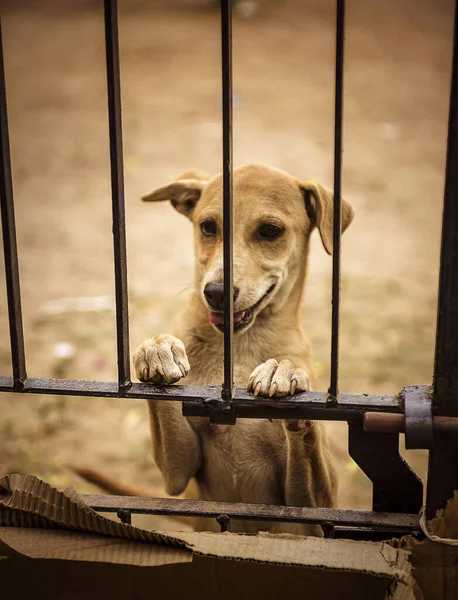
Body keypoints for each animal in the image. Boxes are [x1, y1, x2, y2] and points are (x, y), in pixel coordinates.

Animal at [128, 163, 354, 536]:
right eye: (208, 226)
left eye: (270, 231)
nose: (216, 292)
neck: (240, 347)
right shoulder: (178, 473)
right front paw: (156, 350)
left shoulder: (317, 507)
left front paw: (282, 370)